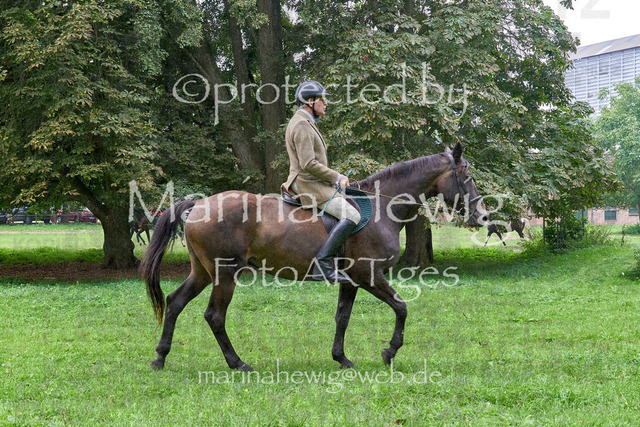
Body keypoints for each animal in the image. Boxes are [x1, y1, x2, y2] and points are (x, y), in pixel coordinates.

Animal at [141, 143, 487, 371]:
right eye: (468, 176)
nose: (482, 215)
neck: (380, 207)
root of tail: (199, 204)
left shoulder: (351, 281)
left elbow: (342, 317)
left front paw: (341, 358)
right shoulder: (370, 276)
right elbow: (401, 307)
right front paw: (390, 352)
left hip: (203, 272)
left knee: (174, 302)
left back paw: (160, 357)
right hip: (225, 275)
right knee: (214, 316)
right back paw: (237, 363)